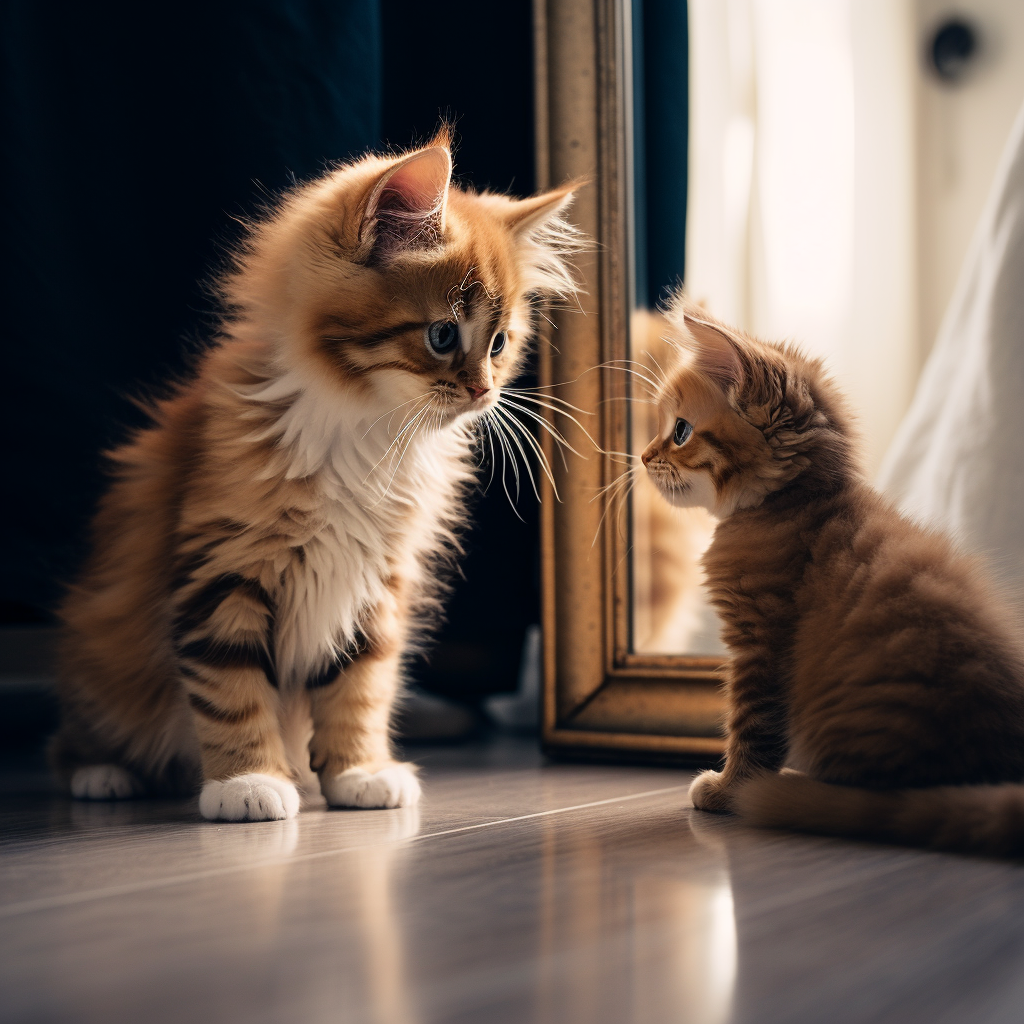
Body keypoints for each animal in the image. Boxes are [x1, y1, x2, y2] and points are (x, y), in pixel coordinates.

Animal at [56, 138, 581, 823]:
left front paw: (360, 773)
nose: (484, 393)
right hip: (102, 645)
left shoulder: (377, 584)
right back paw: (105, 774)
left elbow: (361, 687)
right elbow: (232, 689)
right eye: (443, 336)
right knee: (72, 734)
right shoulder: (223, 569)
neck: (369, 430)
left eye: (498, 345)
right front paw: (248, 782)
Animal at [643, 294, 1024, 856]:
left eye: (680, 431)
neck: (795, 503)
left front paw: (730, 789)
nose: (642, 457)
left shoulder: (761, 643)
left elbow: (752, 725)